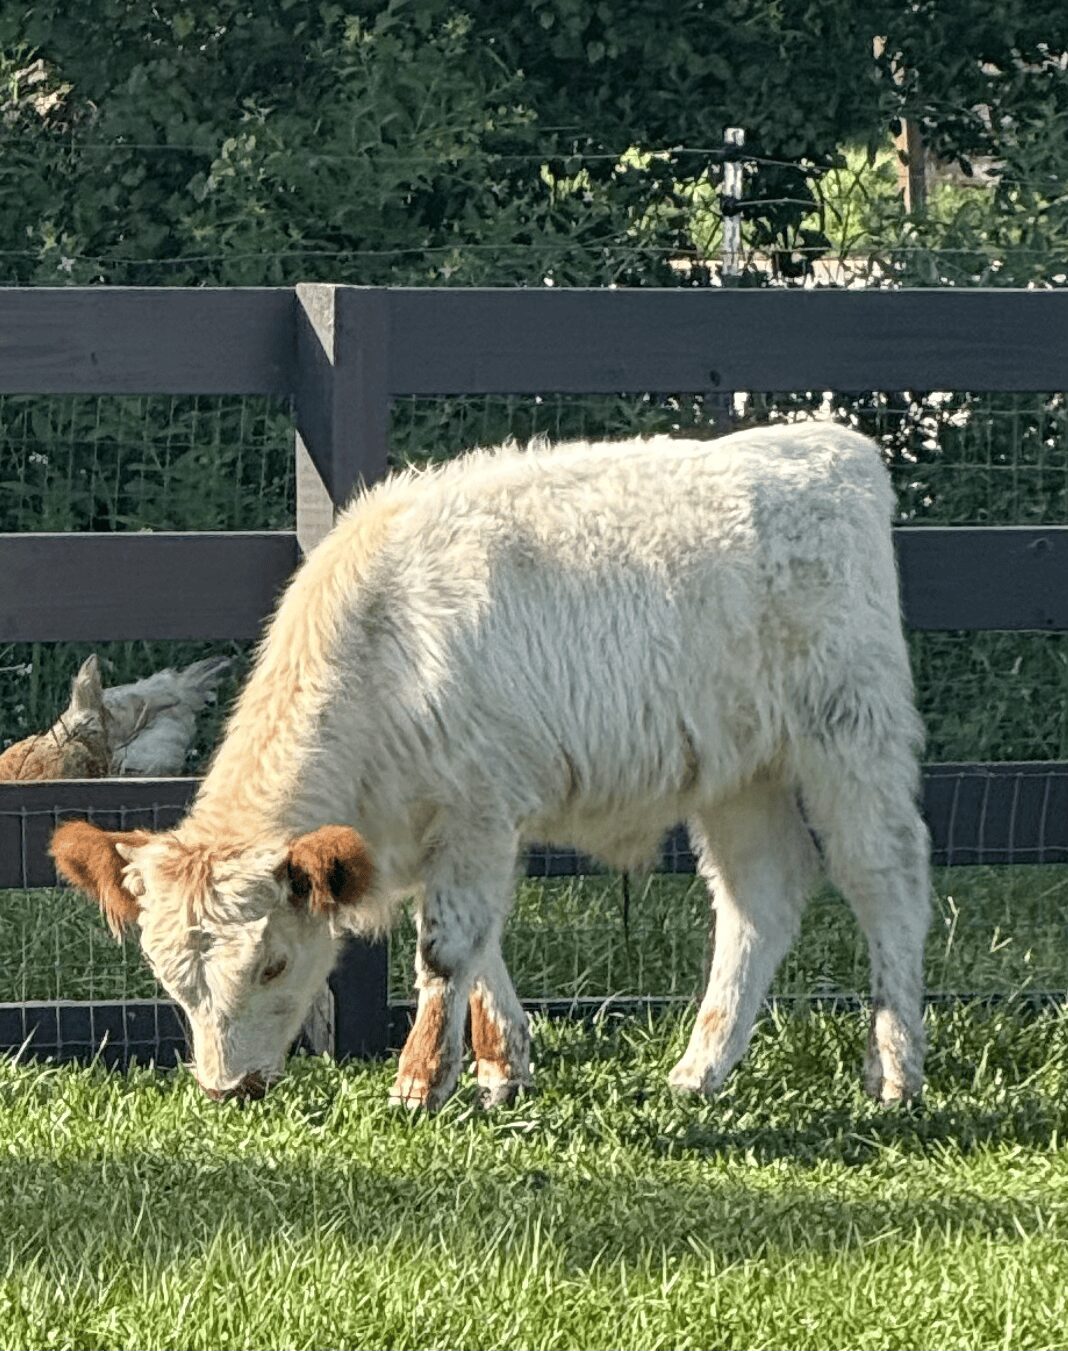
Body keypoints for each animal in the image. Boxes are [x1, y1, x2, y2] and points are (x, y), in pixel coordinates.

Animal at [50, 423, 931, 1110]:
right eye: (171, 979)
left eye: (272, 963)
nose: (227, 1087)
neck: (379, 653)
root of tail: (830, 447)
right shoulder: (437, 828)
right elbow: (479, 948)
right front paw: (502, 1067)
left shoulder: (478, 809)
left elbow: (446, 948)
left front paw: (418, 1082)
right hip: (739, 769)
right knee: (761, 896)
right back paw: (699, 1068)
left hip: (851, 733)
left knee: (886, 876)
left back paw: (894, 1069)